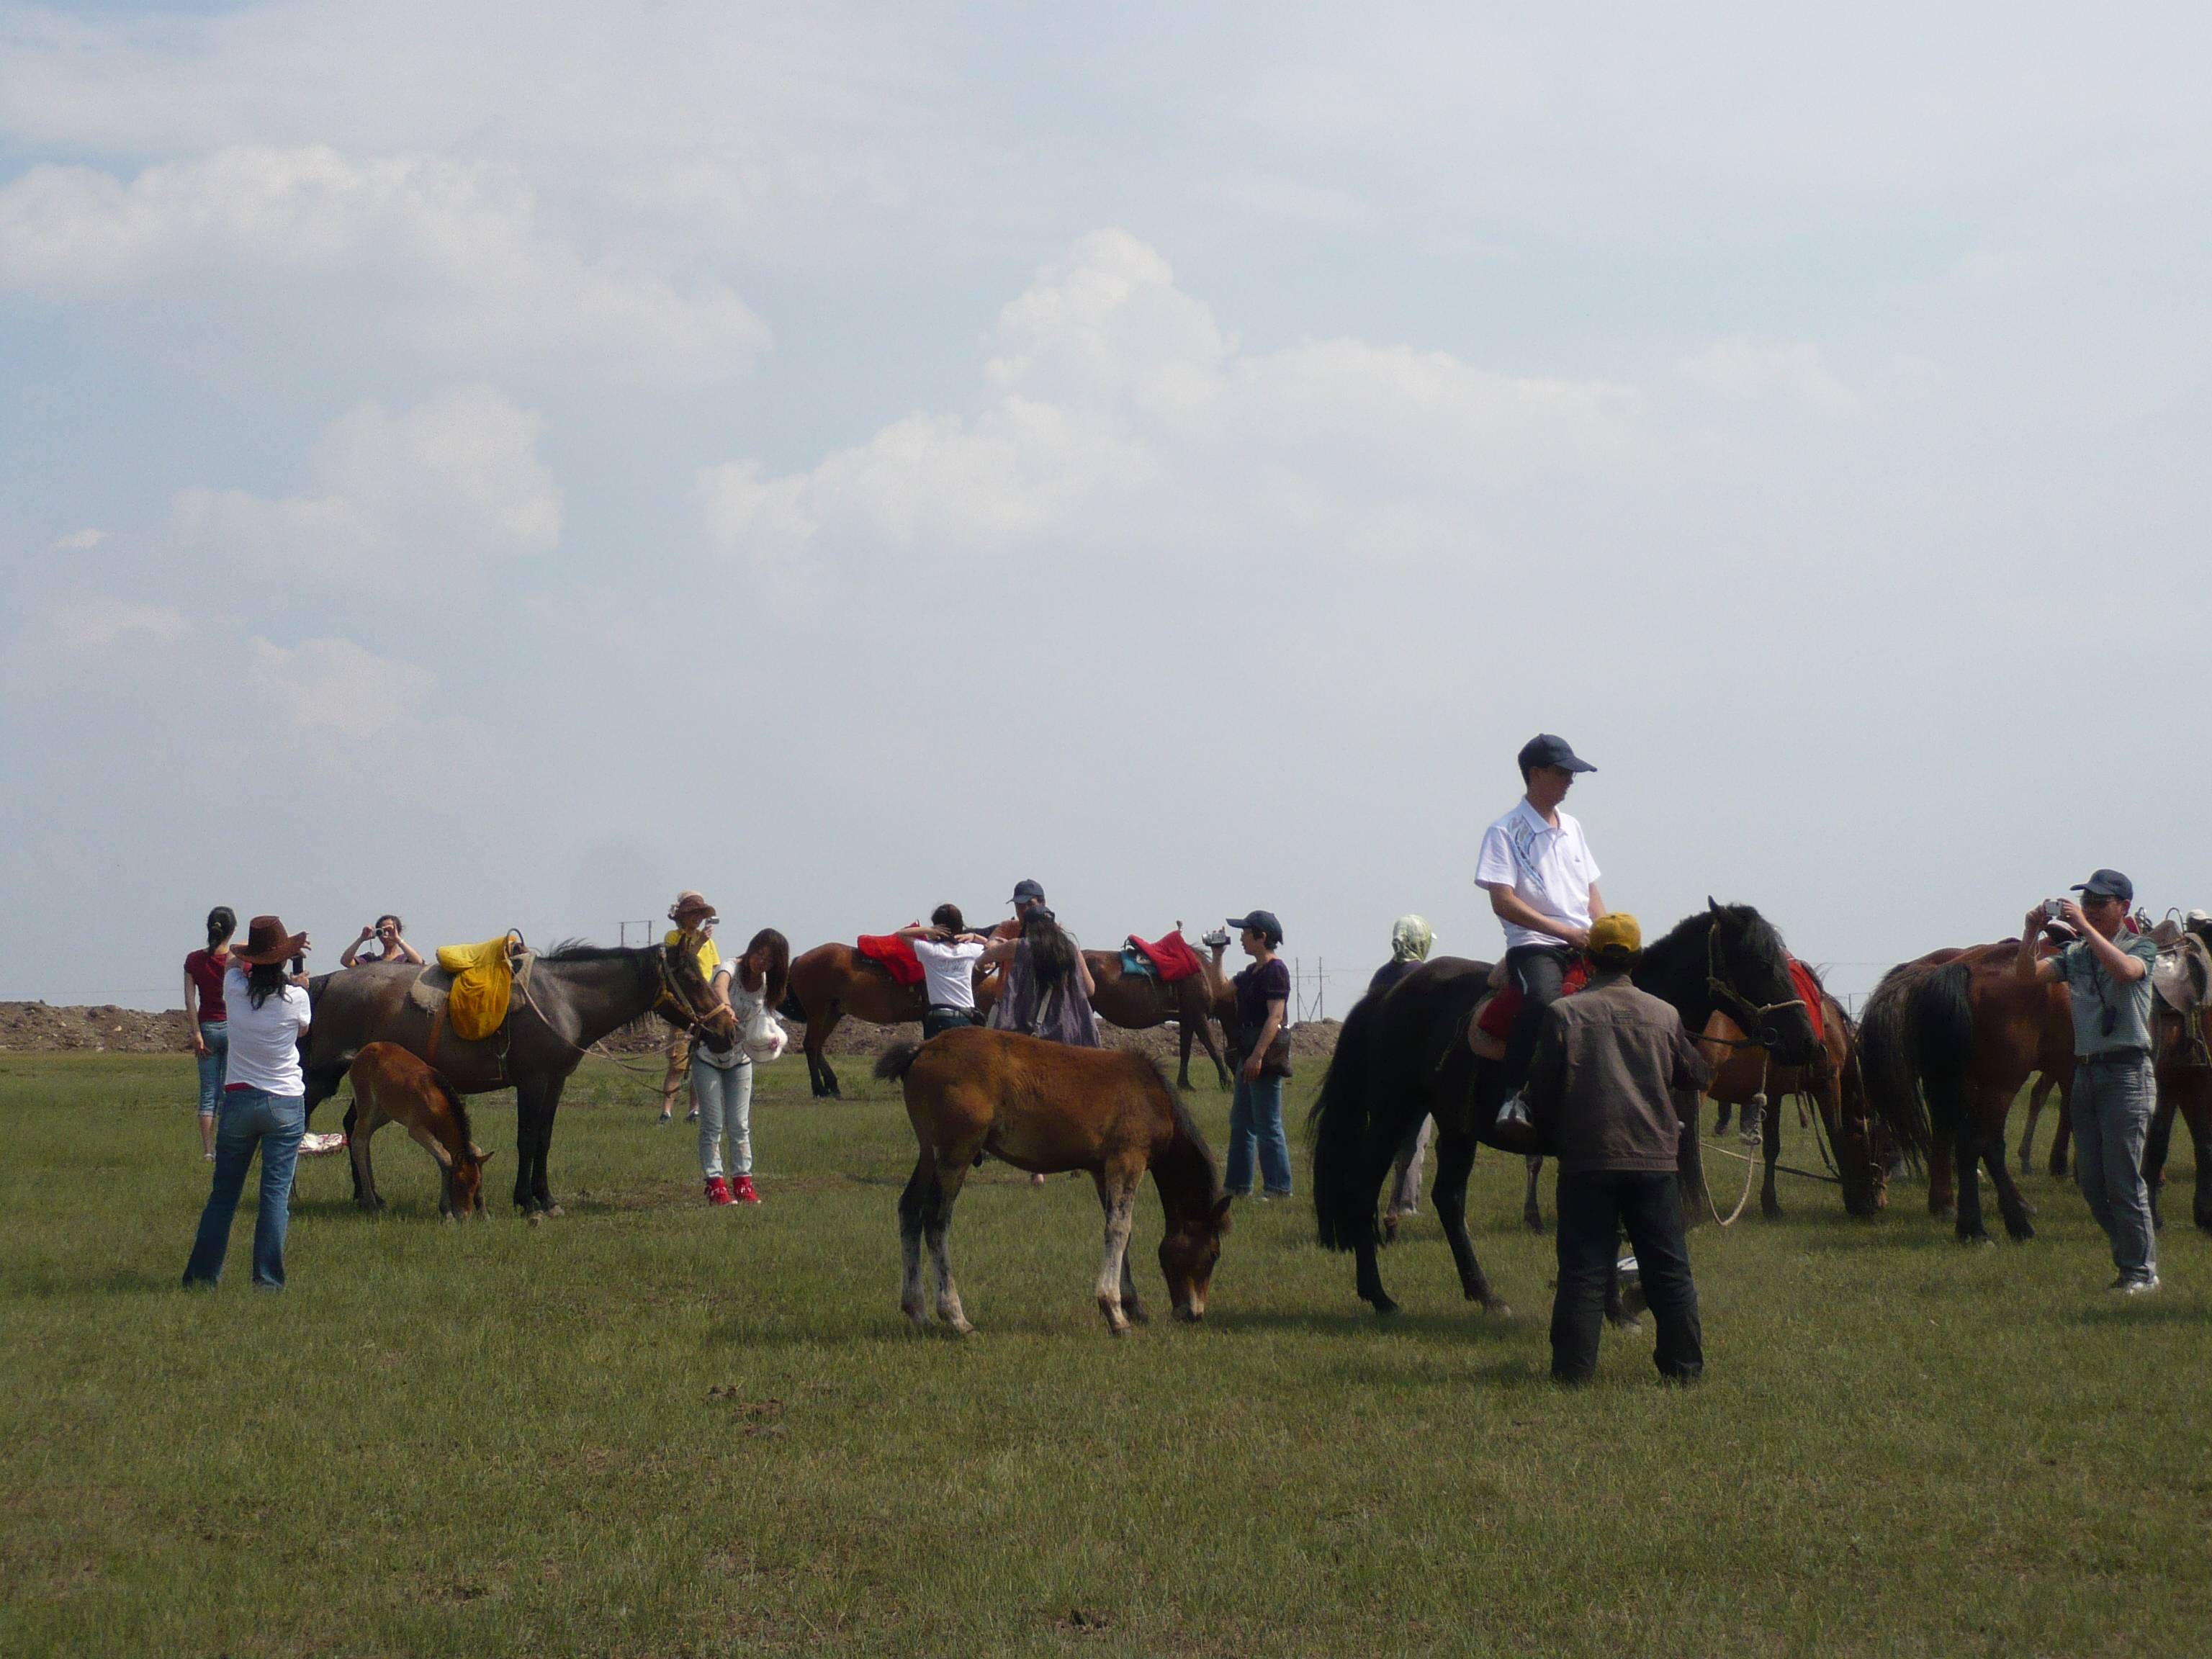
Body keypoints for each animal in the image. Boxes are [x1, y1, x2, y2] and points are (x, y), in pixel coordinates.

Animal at [345, 1043, 493, 1230]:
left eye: (476, 1184)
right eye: (459, 1185)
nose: (465, 1217)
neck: (437, 1102)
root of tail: (363, 1051)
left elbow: (477, 1150)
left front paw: (484, 1213)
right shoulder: (417, 1129)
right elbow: (445, 1159)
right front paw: (447, 1213)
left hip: (384, 1112)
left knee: (365, 1140)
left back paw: (375, 1199)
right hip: (367, 1106)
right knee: (359, 1142)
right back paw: (371, 1202)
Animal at [871, 1026, 1238, 1336]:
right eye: (1213, 1254)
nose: (1194, 1314)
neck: (1150, 1096)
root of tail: (923, 1048)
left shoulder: (1102, 1170)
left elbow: (1119, 1231)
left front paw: (1133, 1306)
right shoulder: (1127, 1161)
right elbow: (1119, 1230)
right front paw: (1115, 1313)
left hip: (928, 1154)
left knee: (909, 1210)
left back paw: (918, 1311)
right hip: (955, 1153)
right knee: (935, 1220)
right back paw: (956, 1317)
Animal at [1309, 902, 1814, 1318]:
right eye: (1760, 963)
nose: (1806, 1040)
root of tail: (1389, 996)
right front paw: (1617, 1308)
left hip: (1456, 1126)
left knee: (1449, 1199)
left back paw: (1483, 1294)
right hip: (1393, 1114)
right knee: (1364, 1189)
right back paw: (1379, 1296)